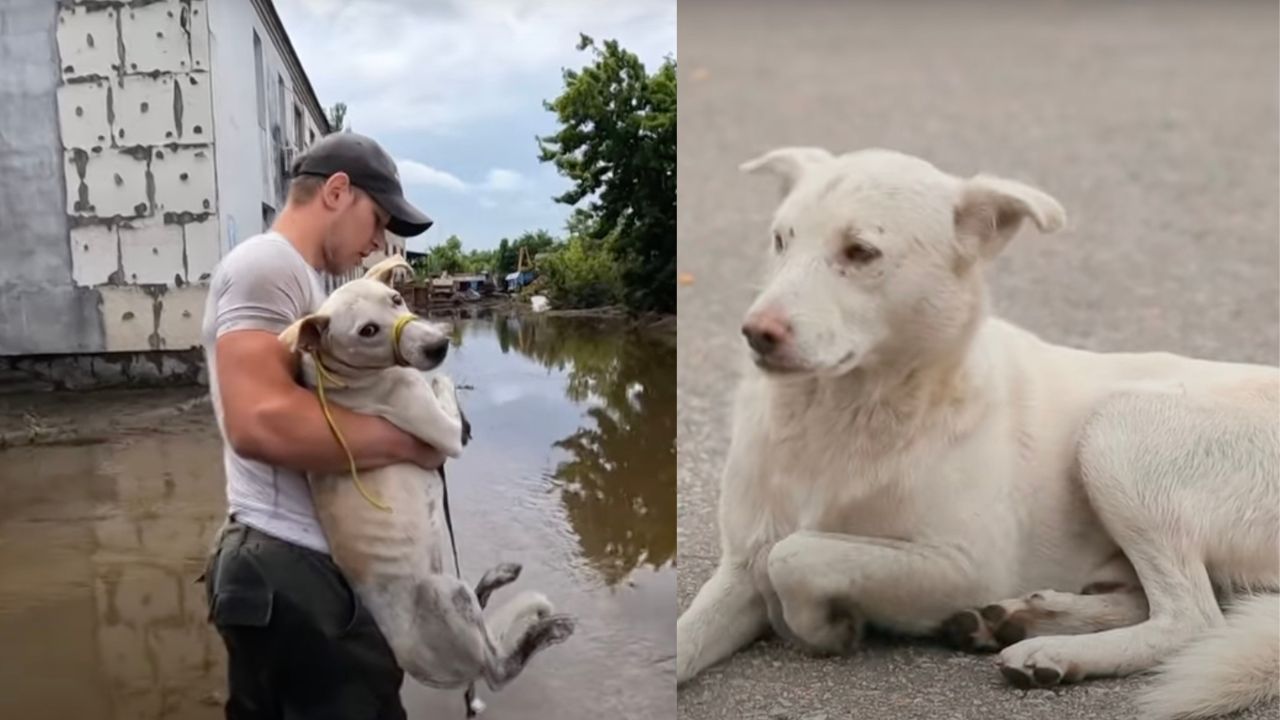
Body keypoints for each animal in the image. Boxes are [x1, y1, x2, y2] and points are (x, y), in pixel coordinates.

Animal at [282, 254, 578, 702]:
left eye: (396, 298)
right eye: (367, 331)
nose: (438, 347)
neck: (340, 375)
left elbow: (443, 383)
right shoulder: (439, 428)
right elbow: (444, 384)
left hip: (454, 594)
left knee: (481, 610)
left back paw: (498, 579)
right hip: (445, 596)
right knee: (498, 668)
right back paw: (544, 631)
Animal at [675, 147, 1274, 717]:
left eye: (860, 252)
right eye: (782, 240)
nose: (756, 332)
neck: (839, 418)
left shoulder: (968, 565)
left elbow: (793, 555)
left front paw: (826, 627)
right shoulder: (739, 565)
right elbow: (692, 633)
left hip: (1115, 432)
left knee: (1193, 619)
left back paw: (1053, 649)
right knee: (1149, 601)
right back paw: (1024, 619)